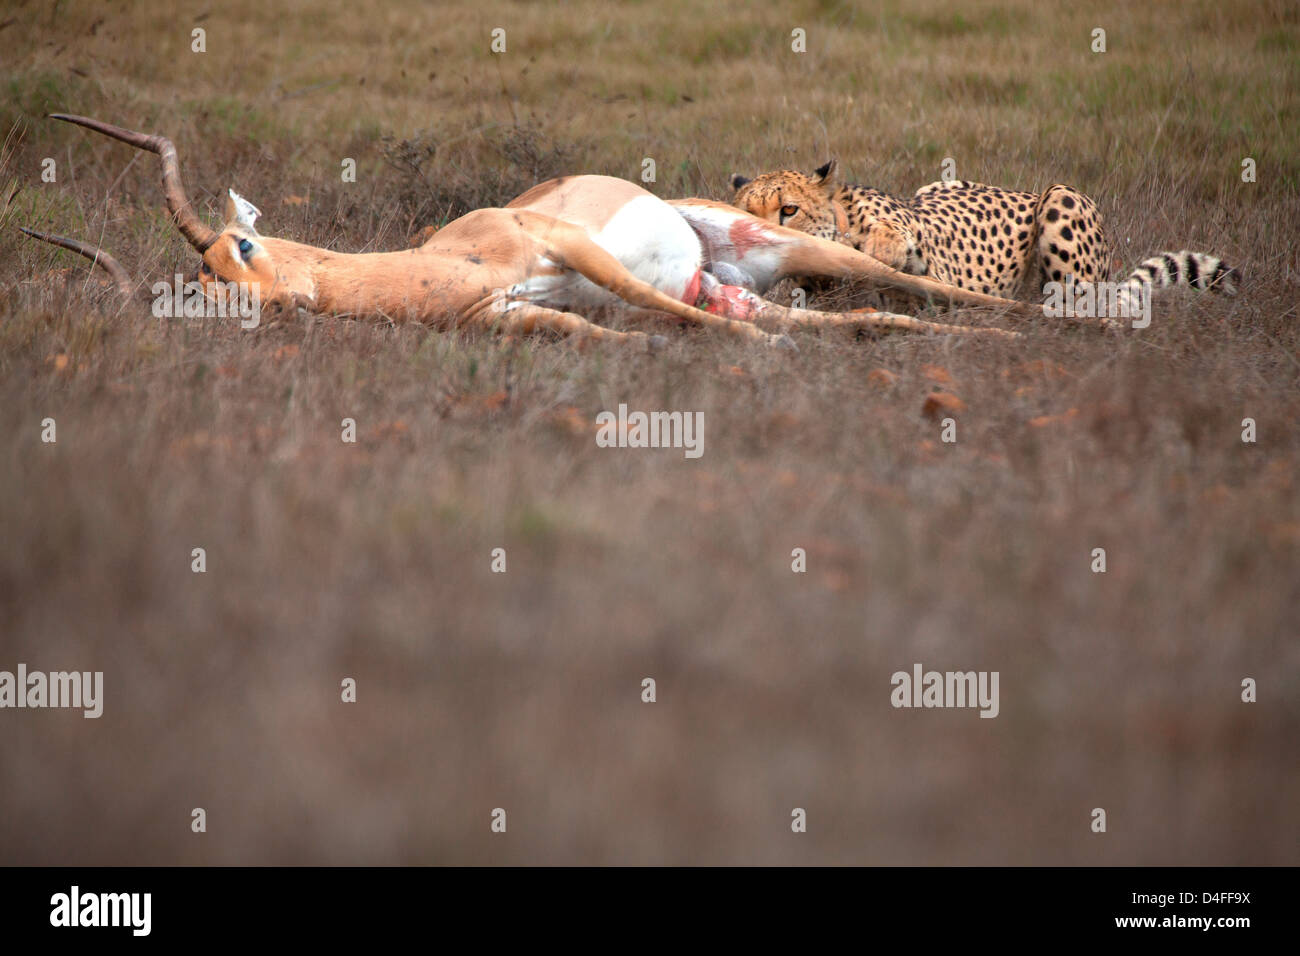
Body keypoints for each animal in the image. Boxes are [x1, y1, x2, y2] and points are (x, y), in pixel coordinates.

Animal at [733, 160, 1237, 314]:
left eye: (789, 209)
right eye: (744, 212)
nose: (754, 235)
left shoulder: (938, 272)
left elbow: (899, 245)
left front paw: (880, 247)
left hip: (1061, 199)